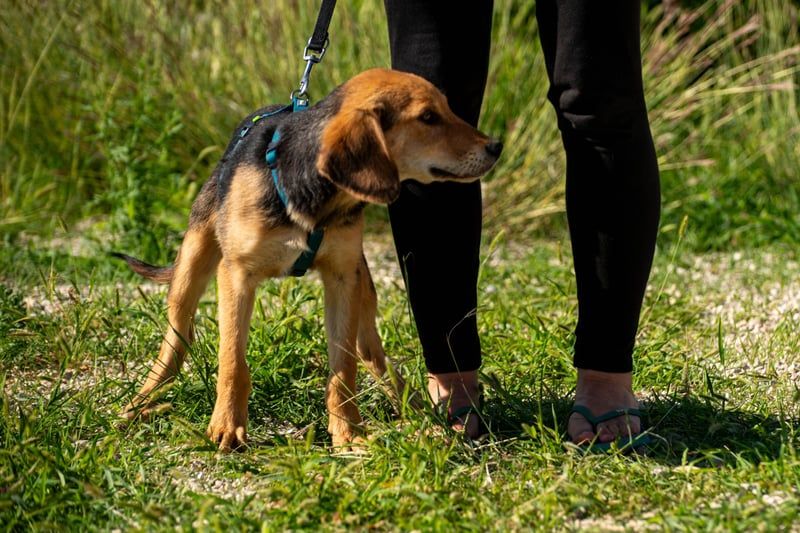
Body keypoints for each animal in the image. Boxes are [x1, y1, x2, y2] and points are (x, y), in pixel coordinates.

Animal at [116, 68, 502, 451]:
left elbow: (343, 367)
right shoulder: (236, 275)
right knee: (177, 340)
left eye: (447, 109)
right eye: (427, 117)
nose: (495, 146)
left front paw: (348, 430)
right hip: (192, 264)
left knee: (369, 351)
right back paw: (140, 402)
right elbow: (232, 360)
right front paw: (226, 426)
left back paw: (421, 411)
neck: (314, 196)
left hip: (363, 288)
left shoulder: (343, 277)